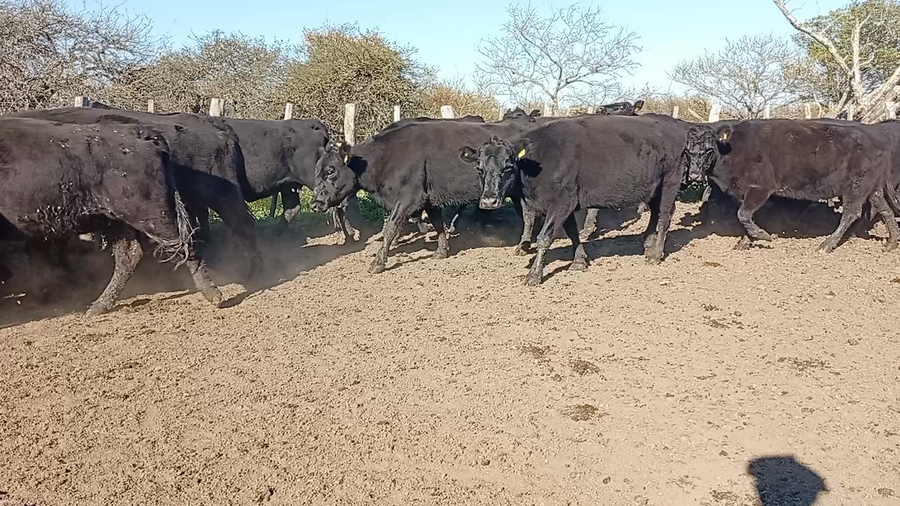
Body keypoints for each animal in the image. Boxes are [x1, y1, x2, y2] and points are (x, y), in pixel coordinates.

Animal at [0, 117, 223, 316]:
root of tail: (139, 133)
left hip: (152, 217)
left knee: (185, 244)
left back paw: (213, 294)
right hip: (117, 221)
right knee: (130, 255)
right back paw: (98, 306)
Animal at [311, 120, 535, 274]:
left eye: (330, 171)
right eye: (317, 170)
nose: (315, 203)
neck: (388, 156)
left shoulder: (407, 199)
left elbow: (391, 228)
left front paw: (377, 263)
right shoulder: (430, 199)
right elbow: (437, 223)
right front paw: (441, 251)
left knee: (529, 215)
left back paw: (523, 245)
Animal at [459, 114, 691, 285]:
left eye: (508, 167)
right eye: (479, 168)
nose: (489, 201)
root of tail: (673, 126)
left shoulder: (562, 201)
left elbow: (544, 237)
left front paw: (534, 275)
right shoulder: (567, 203)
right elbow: (572, 232)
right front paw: (579, 261)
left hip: (670, 181)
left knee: (665, 216)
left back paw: (656, 254)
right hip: (652, 187)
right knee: (655, 212)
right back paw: (647, 243)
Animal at [683, 119, 900, 252]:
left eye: (709, 149)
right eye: (687, 150)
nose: (693, 174)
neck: (732, 150)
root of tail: (877, 138)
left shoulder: (761, 188)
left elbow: (743, 214)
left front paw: (763, 236)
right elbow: (746, 216)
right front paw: (746, 241)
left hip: (856, 187)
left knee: (851, 214)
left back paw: (826, 245)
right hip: (872, 188)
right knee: (886, 210)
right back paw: (891, 242)